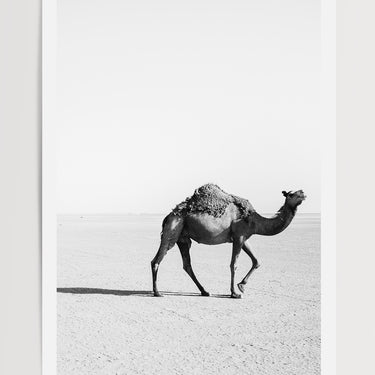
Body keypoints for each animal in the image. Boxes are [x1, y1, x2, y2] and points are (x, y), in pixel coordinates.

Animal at [151, 185, 306, 300]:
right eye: (291, 194)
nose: (303, 193)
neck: (254, 220)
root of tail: (167, 216)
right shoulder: (239, 236)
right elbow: (234, 264)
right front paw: (234, 293)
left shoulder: (243, 237)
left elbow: (256, 261)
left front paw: (241, 285)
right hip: (173, 229)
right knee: (157, 259)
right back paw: (157, 292)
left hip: (183, 238)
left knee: (186, 264)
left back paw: (205, 291)